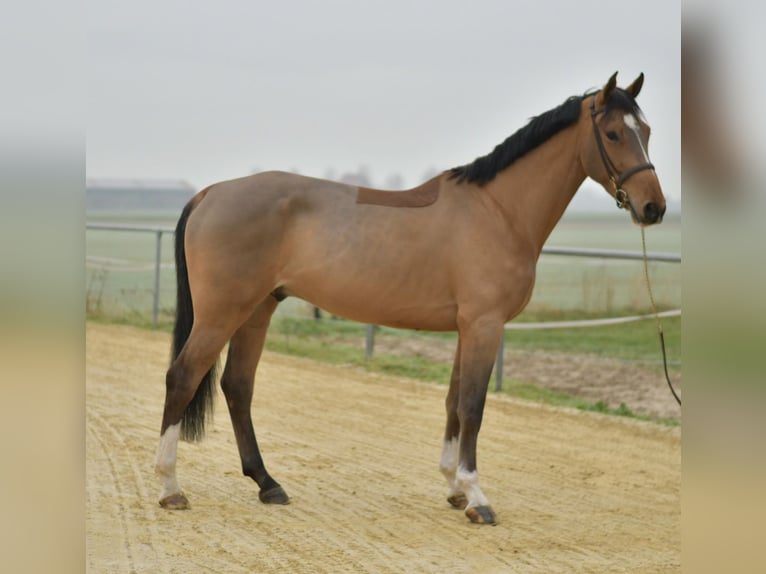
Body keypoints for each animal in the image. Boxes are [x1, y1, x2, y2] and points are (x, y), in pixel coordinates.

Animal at [155, 72, 665, 525]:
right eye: (614, 133)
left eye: (647, 131)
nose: (654, 208)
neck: (498, 211)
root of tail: (210, 193)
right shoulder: (484, 325)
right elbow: (473, 406)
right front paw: (477, 497)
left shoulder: (467, 327)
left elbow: (454, 402)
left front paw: (454, 487)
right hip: (222, 312)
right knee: (183, 377)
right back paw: (170, 488)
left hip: (257, 309)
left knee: (237, 386)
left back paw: (268, 484)